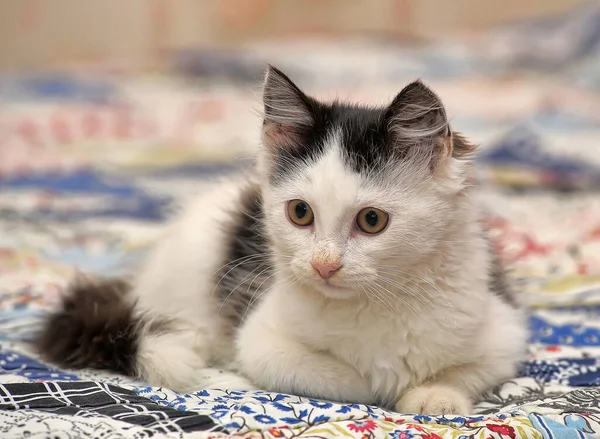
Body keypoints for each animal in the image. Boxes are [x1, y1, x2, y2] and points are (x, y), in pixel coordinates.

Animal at [36, 66, 524, 416]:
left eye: (371, 220)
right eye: (300, 213)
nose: (324, 265)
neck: (375, 302)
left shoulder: (505, 328)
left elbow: (469, 370)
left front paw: (434, 395)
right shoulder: (261, 337)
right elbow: (324, 375)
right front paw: (380, 385)